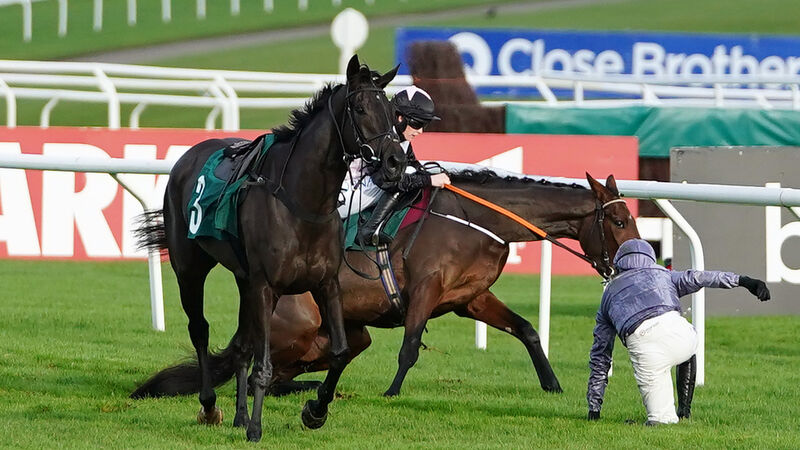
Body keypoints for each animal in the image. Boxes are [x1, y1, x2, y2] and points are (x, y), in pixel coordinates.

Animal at [131, 54, 407, 442]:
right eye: (360, 107)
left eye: (392, 112)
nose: (396, 162)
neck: (304, 202)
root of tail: (189, 155)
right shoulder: (266, 285)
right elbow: (263, 365)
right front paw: (257, 428)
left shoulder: (325, 283)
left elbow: (339, 352)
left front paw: (315, 411)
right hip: (191, 268)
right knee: (200, 329)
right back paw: (210, 406)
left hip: (244, 279)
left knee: (242, 346)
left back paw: (238, 416)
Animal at [131, 170, 640, 401]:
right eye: (618, 220)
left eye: (631, 218)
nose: (632, 261)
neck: (476, 218)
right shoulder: (427, 290)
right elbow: (410, 347)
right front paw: (393, 391)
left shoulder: (471, 298)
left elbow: (528, 330)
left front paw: (552, 384)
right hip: (299, 326)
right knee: (268, 372)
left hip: (349, 334)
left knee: (296, 371)